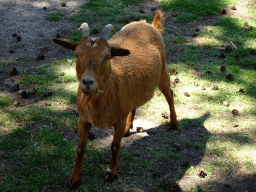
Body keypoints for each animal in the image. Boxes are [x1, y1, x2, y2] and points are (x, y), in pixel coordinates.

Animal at [52, 11, 178, 190]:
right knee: (134, 105)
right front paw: (74, 178)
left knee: (170, 94)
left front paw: (111, 173)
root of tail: (149, 25)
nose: (88, 82)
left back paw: (174, 123)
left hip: (163, 72)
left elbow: (114, 147)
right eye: (76, 54)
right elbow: (80, 149)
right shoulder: (83, 119)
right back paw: (128, 129)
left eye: (107, 56)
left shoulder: (117, 120)